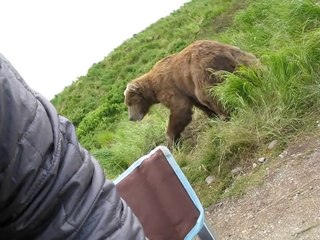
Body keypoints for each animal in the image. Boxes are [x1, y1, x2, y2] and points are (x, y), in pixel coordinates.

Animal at [124, 39, 258, 146]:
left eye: (130, 103)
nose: (131, 118)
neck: (153, 89)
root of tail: (222, 50)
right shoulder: (187, 90)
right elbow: (199, 105)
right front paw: (212, 117)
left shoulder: (170, 88)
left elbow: (180, 109)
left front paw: (171, 139)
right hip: (240, 57)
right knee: (253, 67)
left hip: (203, 69)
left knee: (208, 94)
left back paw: (225, 115)